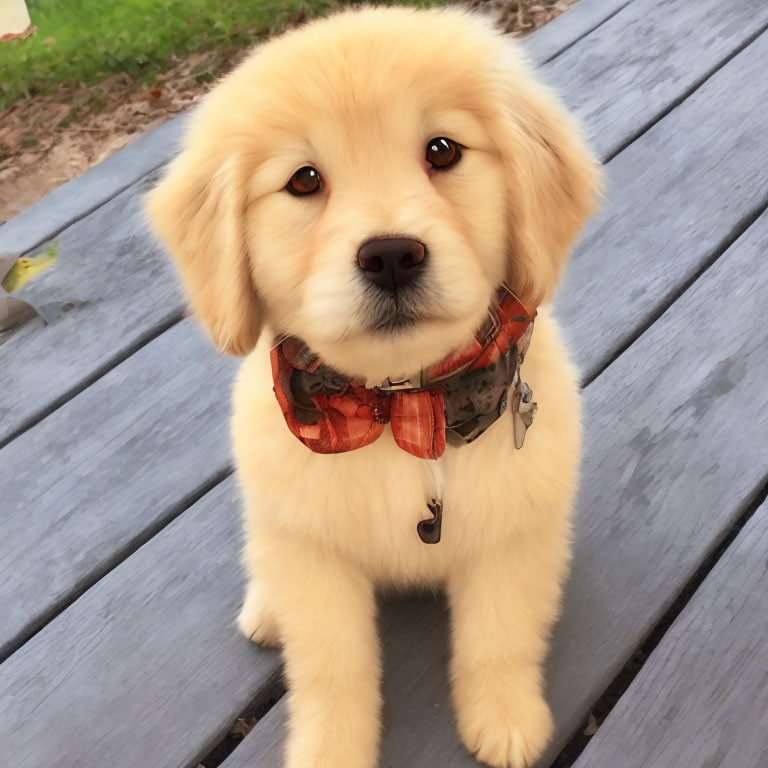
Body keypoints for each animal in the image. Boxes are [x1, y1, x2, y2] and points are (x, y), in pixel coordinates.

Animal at [146, 7, 600, 768]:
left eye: (442, 150)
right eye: (304, 181)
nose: (391, 255)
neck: (397, 408)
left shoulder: (515, 535)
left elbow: (499, 636)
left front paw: (506, 718)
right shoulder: (314, 557)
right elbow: (333, 670)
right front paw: (329, 750)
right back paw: (265, 610)